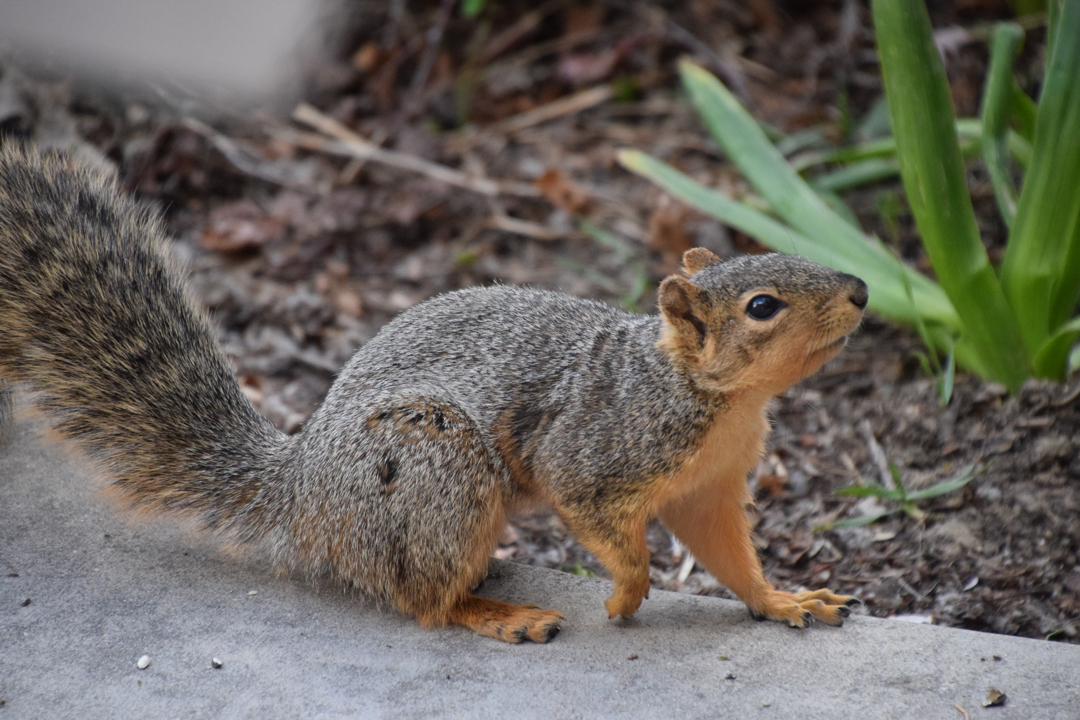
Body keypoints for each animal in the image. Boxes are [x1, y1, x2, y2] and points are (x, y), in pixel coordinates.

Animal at [0, 143, 864, 643]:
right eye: (762, 307)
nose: (860, 288)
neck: (712, 399)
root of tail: (302, 496)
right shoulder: (596, 453)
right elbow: (605, 525)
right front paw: (626, 595)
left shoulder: (708, 487)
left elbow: (728, 556)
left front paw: (786, 601)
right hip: (432, 463)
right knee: (422, 601)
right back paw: (503, 616)